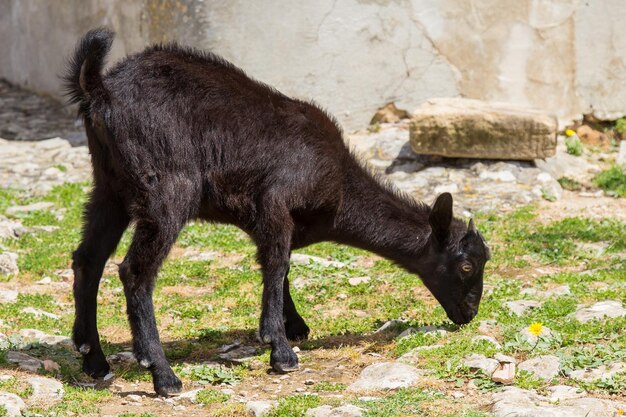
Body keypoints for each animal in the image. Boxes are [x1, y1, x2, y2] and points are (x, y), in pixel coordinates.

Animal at [66, 28, 490, 394]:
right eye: (466, 265)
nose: (469, 314)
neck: (340, 189)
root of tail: (100, 90)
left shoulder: (266, 220)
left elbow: (278, 264)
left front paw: (294, 325)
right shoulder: (275, 199)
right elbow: (276, 263)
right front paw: (281, 349)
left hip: (109, 188)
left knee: (88, 260)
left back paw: (95, 360)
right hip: (167, 187)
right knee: (135, 271)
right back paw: (161, 372)